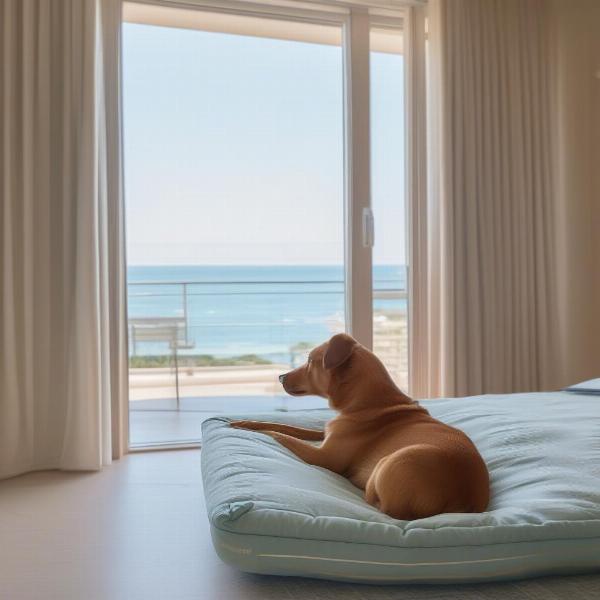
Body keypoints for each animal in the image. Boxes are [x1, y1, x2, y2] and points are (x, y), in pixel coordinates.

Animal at [232, 332, 490, 520]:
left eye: (309, 361)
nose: (281, 377)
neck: (370, 401)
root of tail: (460, 503)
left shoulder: (324, 457)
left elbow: (279, 435)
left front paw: (251, 430)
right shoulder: (325, 434)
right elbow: (287, 427)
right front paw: (246, 422)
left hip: (390, 461)